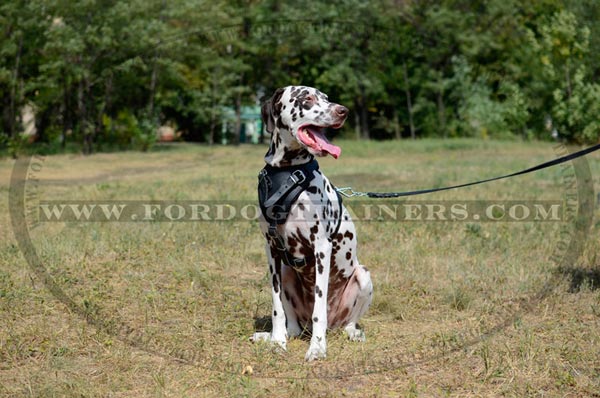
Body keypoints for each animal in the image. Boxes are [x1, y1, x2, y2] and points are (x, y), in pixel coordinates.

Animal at [250, 86, 372, 360]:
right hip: (286, 273)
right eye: (307, 99)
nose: (343, 111)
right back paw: (275, 335)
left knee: (346, 323)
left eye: (326, 98)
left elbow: (319, 309)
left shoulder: (321, 249)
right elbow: (276, 307)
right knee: (294, 326)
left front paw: (317, 347)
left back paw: (351, 332)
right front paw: (277, 341)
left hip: (363, 276)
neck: (288, 174)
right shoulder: (271, 250)